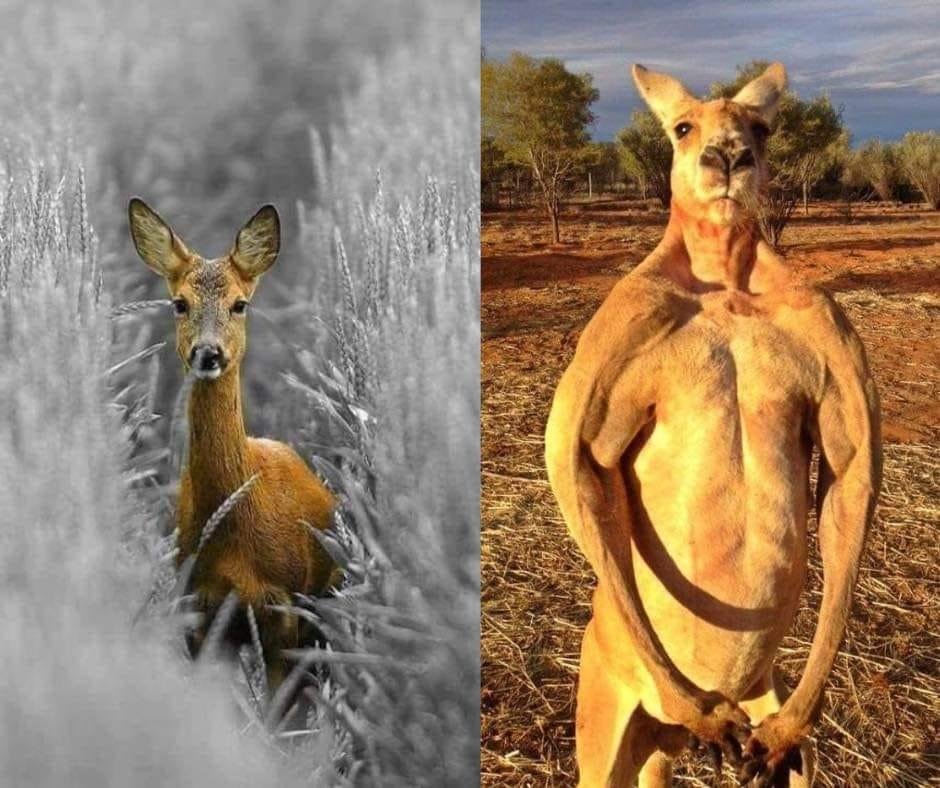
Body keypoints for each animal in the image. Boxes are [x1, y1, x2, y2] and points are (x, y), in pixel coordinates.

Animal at [545, 62, 881, 787]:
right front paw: (697, 706)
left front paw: (792, 722)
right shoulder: (624, 323)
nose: (727, 157)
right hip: (605, 715)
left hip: (768, 719)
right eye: (681, 127)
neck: (726, 279)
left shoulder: (827, 326)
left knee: (787, 755)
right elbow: (579, 462)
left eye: (761, 127)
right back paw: (698, 712)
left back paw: (768, 731)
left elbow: (850, 474)